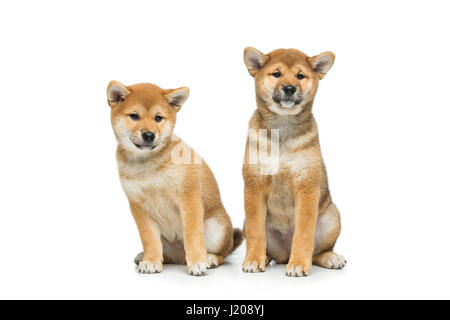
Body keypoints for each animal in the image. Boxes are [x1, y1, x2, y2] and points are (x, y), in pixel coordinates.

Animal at [107, 81, 243, 276]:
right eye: (134, 116)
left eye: (158, 118)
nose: (149, 135)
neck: (148, 166)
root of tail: (180, 255)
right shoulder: (138, 207)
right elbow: (149, 238)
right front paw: (151, 261)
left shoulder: (188, 196)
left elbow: (192, 234)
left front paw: (197, 262)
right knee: (166, 254)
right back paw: (145, 256)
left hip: (217, 228)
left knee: (223, 252)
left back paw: (210, 258)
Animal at [243, 48, 344, 278]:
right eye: (277, 74)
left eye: (300, 76)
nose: (289, 88)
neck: (283, 128)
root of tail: (284, 253)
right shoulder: (254, 185)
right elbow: (255, 232)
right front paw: (253, 260)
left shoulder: (306, 185)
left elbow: (304, 234)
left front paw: (298, 264)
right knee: (270, 250)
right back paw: (264, 258)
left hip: (332, 216)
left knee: (318, 252)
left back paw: (330, 258)